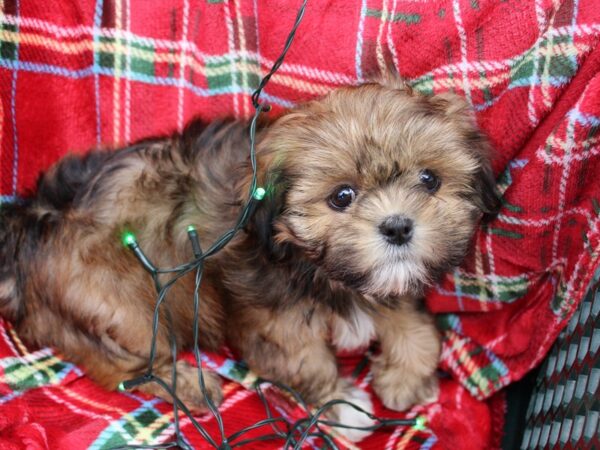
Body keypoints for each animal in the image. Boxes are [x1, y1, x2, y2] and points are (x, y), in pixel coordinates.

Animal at [0, 79, 496, 442]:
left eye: (430, 180)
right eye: (342, 196)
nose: (397, 227)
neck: (314, 267)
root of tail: (30, 224)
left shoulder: (384, 286)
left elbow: (417, 329)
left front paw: (405, 379)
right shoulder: (271, 322)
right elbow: (308, 361)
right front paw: (342, 406)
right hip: (123, 306)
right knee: (121, 367)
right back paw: (189, 384)